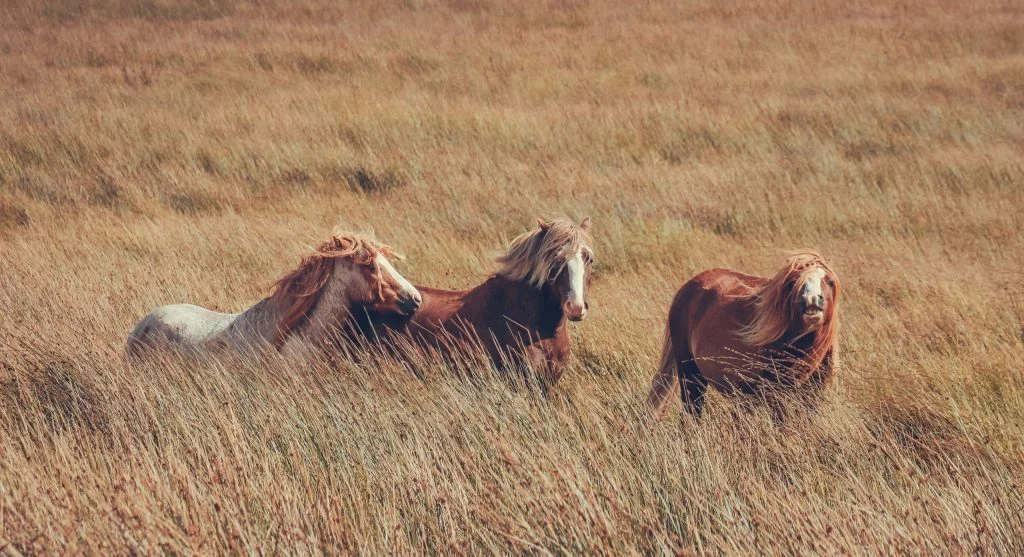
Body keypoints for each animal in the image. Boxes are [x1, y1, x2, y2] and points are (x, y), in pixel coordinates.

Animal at [647, 251, 840, 419]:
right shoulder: (776, 396)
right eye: (793, 282)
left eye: (829, 281)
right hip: (691, 375)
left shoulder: (811, 397)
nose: (811, 300)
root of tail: (688, 286)